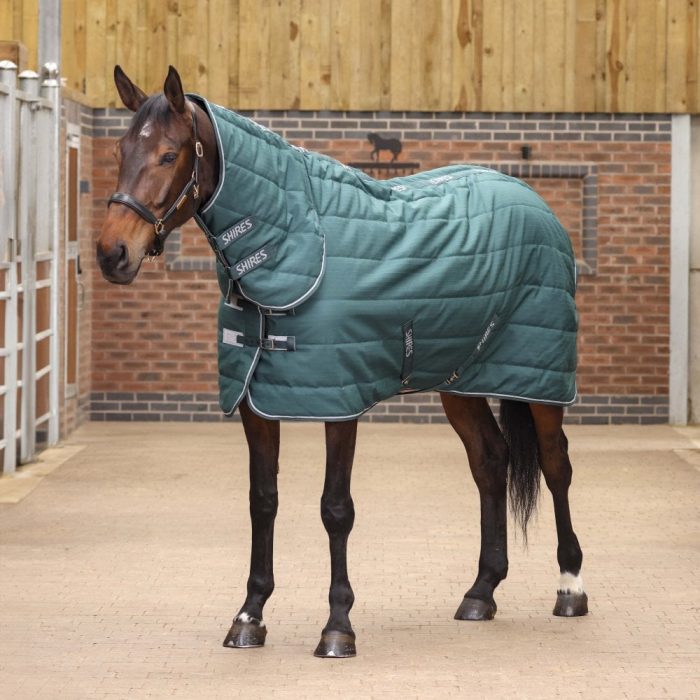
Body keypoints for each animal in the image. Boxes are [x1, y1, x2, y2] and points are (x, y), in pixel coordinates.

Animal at [96, 65, 587, 659]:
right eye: (121, 150)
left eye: (169, 155)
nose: (112, 254)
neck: (297, 243)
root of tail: (535, 202)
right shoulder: (256, 404)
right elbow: (263, 501)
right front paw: (249, 617)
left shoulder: (339, 400)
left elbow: (336, 509)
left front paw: (337, 627)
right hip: (459, 381)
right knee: (490, 462)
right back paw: (481, 593)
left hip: (541, 382)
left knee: (555, 465)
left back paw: (570, 588)